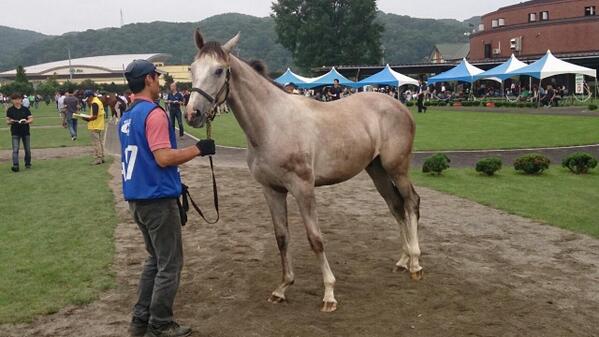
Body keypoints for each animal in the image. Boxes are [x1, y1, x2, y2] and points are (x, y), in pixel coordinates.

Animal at [186, 31, 422, 312]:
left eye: (219, 70)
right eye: (192, 69)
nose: (193, 114)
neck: (273, 124)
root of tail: (398, 106)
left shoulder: (303, 188)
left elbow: (315, 238)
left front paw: (329, 293)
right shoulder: (272, 190)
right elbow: (281, 237)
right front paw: (282, 288)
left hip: (396, 168)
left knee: (410, 202)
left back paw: (415, 263)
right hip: (377, 171)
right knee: (396, 206)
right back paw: (403, 261)